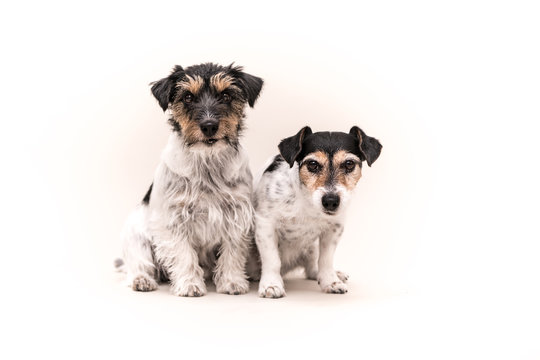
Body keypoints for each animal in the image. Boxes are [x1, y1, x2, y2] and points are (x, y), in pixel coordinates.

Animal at [118, 63, 264, 296]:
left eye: (226, 95)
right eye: (187, 97)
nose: (209, 125)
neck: (207, 162)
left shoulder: (237, 216)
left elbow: (232, 253)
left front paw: (232, 282)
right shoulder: (173, 221)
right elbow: (184, 254)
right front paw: (189, 285)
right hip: (136, 237)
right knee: (138, 264)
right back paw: (142, 280)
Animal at [252, 126, 382, 298]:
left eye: (349, 164)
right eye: (312, 164)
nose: (331, 201)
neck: (308, 203)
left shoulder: (334, 230)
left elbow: (325, 260)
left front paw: (331, 281)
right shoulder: (265, 225)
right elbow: (272, 259)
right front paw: (271, 284)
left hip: (311, 247)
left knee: (312, 268)